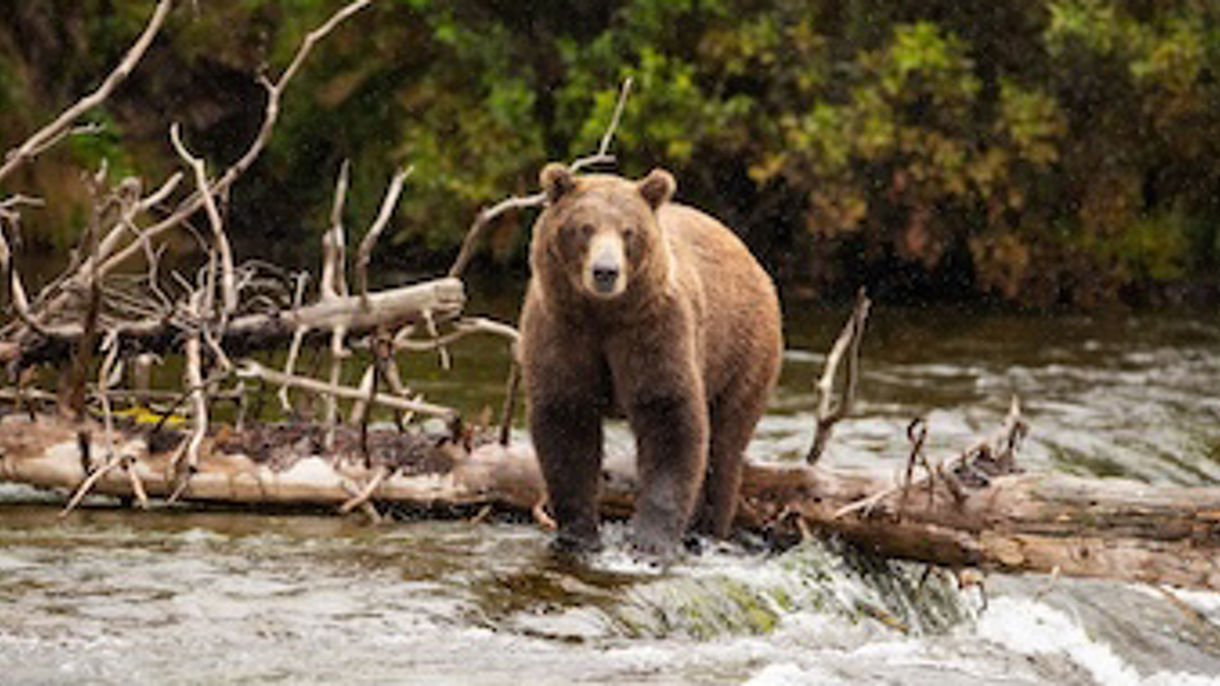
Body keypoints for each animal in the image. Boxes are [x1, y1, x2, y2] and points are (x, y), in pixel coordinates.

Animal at [518, 162, 783, 558]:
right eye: (585, 227)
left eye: (628, 231)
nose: (606, 271)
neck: (603, 315)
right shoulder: (562, 329)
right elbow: (566, 420)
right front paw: (578, 535)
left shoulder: (653, 328)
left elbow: (669, 416)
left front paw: (649, 540)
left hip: (743, 349)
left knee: (725, 445)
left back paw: (708, 531)